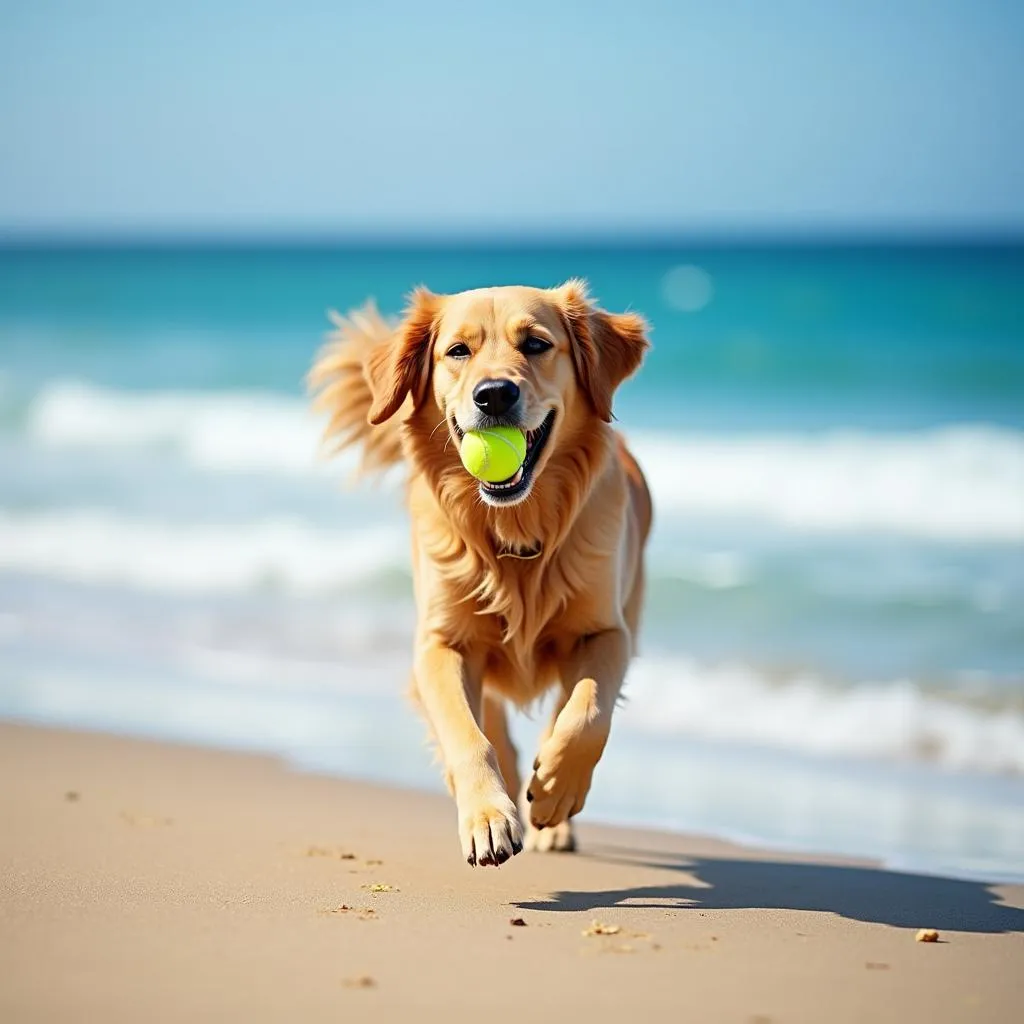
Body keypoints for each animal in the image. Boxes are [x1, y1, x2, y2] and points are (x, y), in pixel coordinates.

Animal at [307, 280, 651, 864]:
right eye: (457, 351)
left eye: (536, 344)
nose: (494, 395)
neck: (514, 534)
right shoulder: (442, 643)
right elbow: (468, 735)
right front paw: (488, 816)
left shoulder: (606, 632)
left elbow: (586, 712)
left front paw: (555, 790)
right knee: (493, 728)